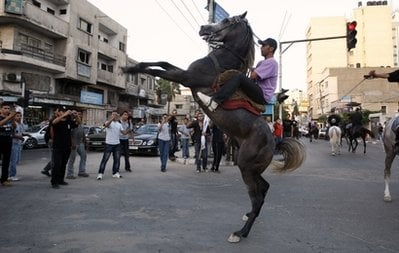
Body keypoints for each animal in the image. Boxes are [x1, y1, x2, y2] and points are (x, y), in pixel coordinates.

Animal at [122, 12, 306, 243]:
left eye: (227, 21)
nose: (203, 28)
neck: (220, 62)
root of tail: (274, 142)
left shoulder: (187, 77)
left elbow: (158, 69)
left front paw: (131, 68)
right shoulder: (185, 73)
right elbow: (163, 62)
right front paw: (130, 67)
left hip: (246, 166)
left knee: (256, 196)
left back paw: (240, 233)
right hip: (253, 168)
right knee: (263, 189)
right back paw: (247, 216)